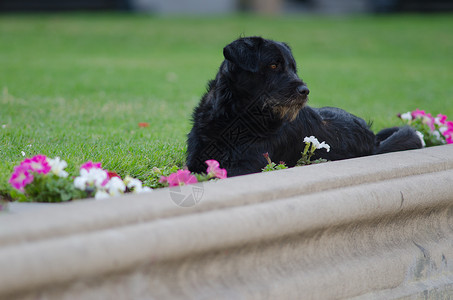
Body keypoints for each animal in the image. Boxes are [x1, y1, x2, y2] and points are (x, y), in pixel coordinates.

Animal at [185, 35, 418, 176]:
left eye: (293, 68)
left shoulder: (247, 167)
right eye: (273, 65)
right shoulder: (195, 161)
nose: (305, 90)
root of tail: (373, 141)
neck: (235, 118)